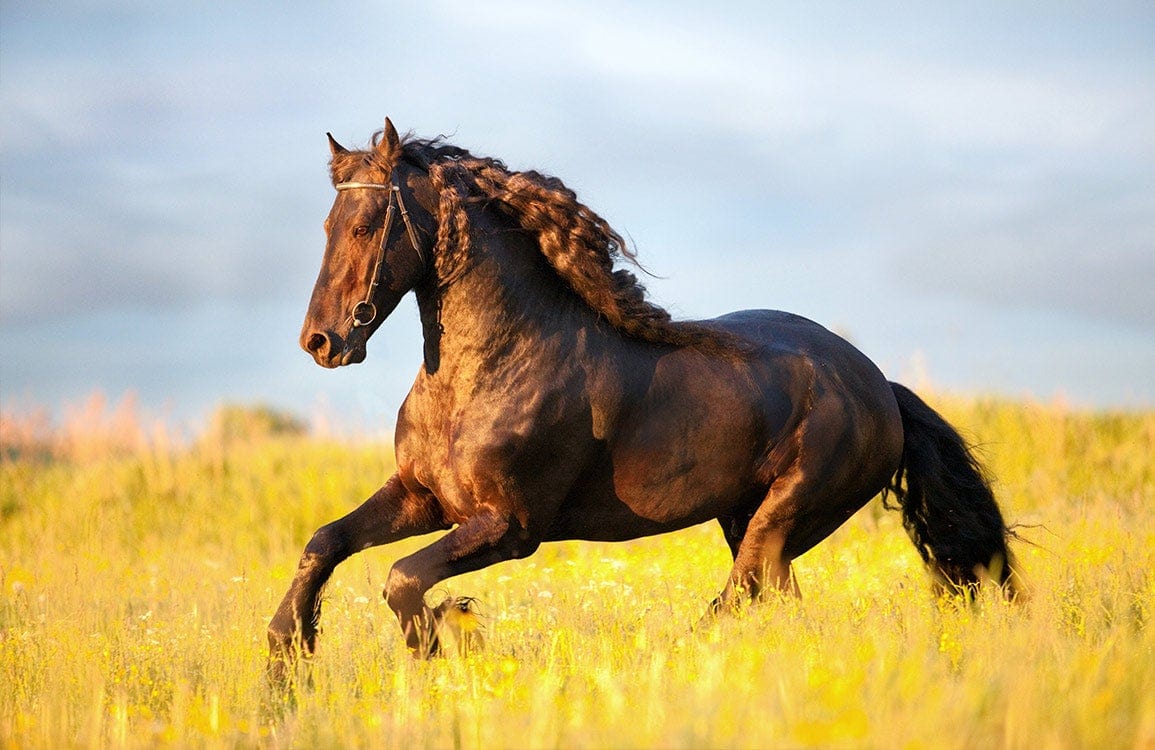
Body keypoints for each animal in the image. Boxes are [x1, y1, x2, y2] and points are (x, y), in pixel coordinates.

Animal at [267, 118, 1018, 680]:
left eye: (366, 224)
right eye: (328, 225)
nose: (321, 341)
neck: (484, 373)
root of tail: (879, 386)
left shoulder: (510, 527)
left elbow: (400, 578)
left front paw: (445, 642)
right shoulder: (423, 497)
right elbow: (324, 543)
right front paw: (285, 660)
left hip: (784, 515)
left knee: (740, 596)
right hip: (746, 519)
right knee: (773, 602)